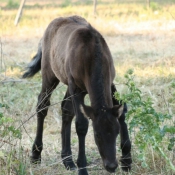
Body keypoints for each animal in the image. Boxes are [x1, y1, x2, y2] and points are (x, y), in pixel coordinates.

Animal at [22, 15, 131, 174]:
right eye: (97, 135)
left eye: (117, 132)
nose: (111, 166)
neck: (93, 54)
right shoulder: (75, 88)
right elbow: (81, 125)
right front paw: (82, 167)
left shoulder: (110, 82)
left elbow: (122, 111)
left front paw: (127, 160)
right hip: (50, 75)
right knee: (43, 105)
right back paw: (36, 155)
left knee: (66, 109)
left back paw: (67, 160)